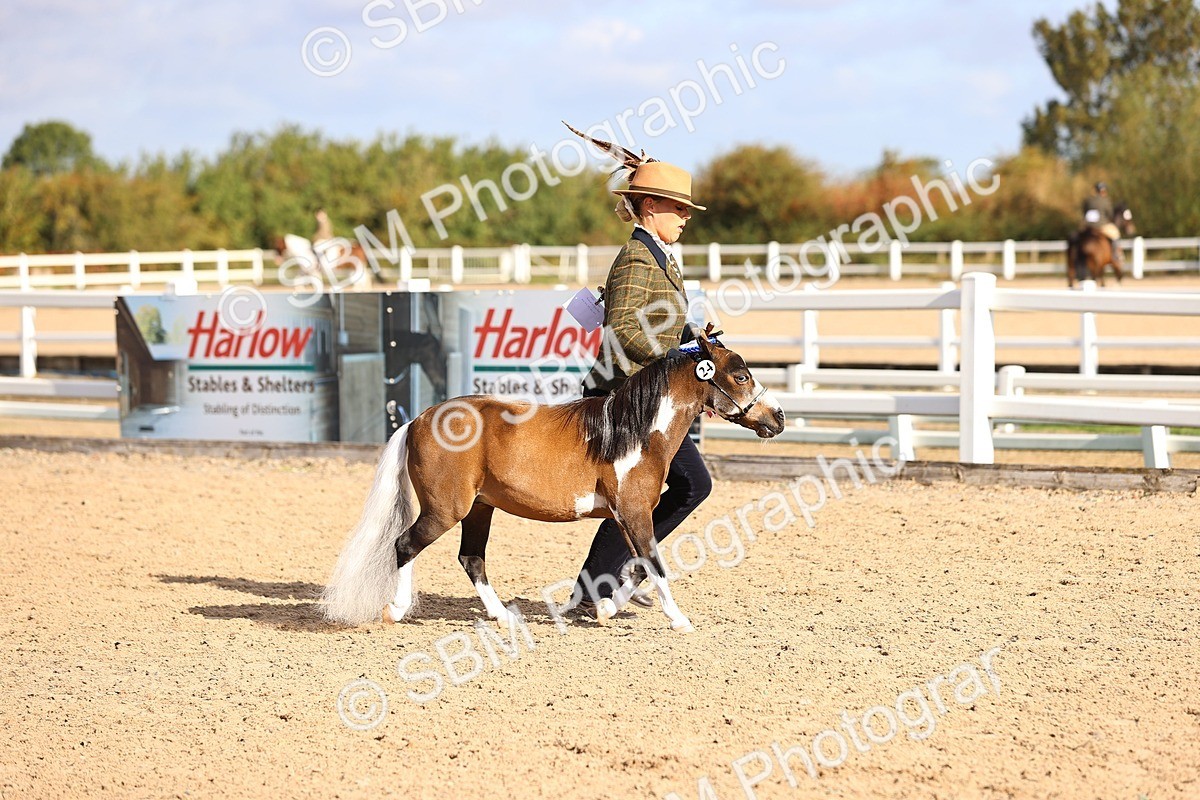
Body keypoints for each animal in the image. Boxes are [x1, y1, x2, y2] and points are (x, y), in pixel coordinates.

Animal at [320, 330, 786, 633]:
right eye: (741, 376)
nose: (778, 417)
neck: (634, 432)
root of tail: (418, 420)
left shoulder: (629, 515)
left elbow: (638, 566)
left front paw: (605, 610)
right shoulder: (633, 513)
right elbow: (654, 564)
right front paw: (679, 620)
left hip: (479, 508)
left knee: (471, 559)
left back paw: (503, 616)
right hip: (445, 509)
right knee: (405, 545)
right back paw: (396, 610)